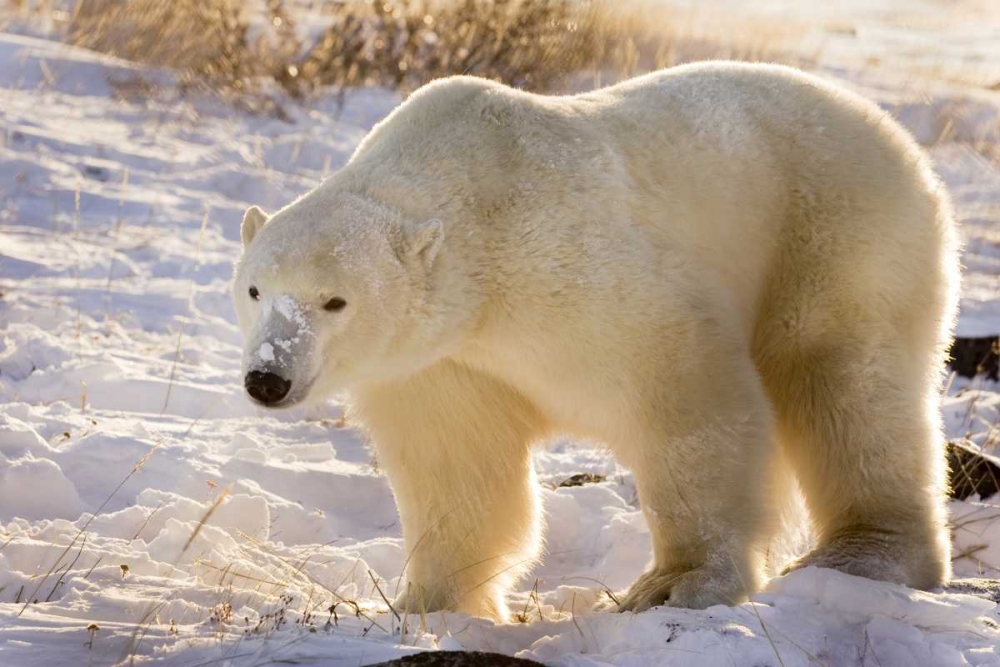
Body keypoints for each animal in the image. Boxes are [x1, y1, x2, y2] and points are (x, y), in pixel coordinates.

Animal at [233, 61, 960, 621]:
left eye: (335, 299)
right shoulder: (442, 358)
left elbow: (688, 396)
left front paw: (675, 582)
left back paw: (864, 551)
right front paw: (426, 600)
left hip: (834, 233)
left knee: (845, 381)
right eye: (256, 289)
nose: (268, 377)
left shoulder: (578, 272)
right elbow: (457, 461)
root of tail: (890, 129)